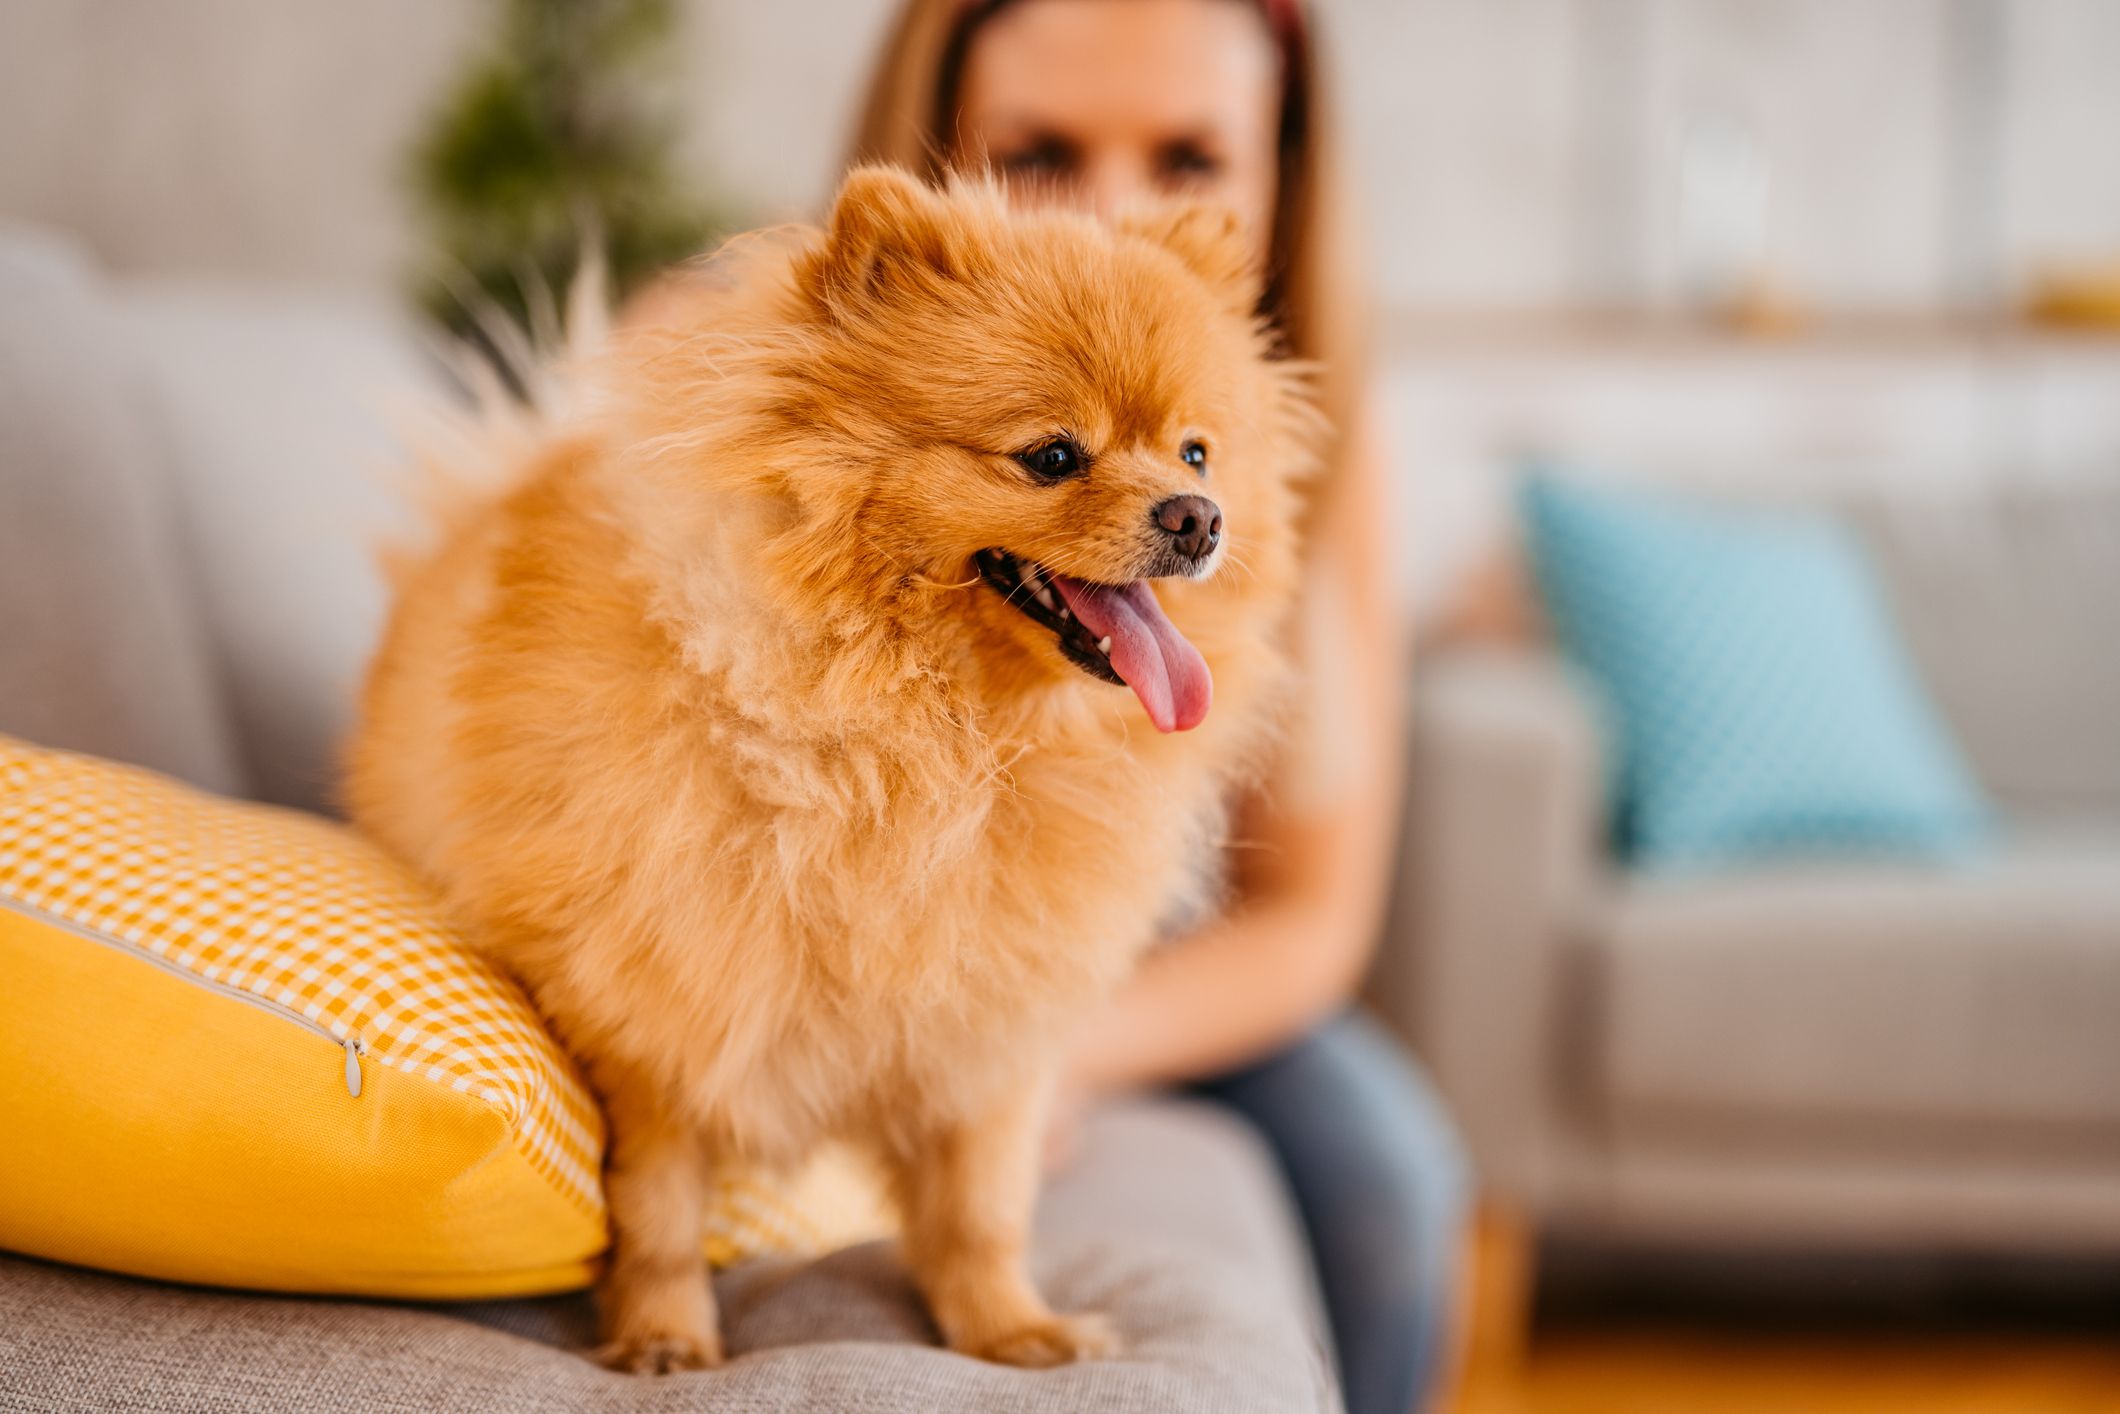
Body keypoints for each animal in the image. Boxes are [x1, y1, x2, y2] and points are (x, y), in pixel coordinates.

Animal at [347, 166, 1305, 1373]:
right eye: (1051, 456)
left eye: (1195, 453)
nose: (1198, 519)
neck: (933, 743)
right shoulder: (659, 1007)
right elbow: (658, 1209)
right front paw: (665, 1336)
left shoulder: (981, 1029)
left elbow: (979, 1209)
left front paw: (1009, 1328)